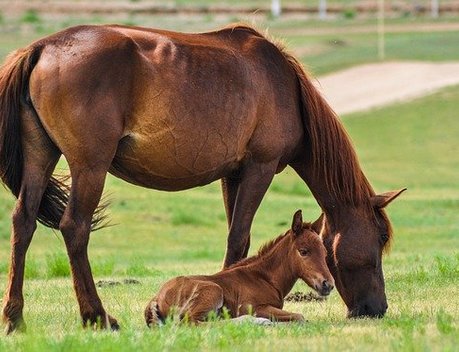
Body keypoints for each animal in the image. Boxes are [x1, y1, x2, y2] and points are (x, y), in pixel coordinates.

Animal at [146, 209, 336, 328]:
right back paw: (255, 322)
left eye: (325, 252)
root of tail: (156, 298)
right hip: (213, 291)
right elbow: (299, 317)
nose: (328, 284)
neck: (264, 278)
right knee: (192, 323)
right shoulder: (253, 307)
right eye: (303, 251)